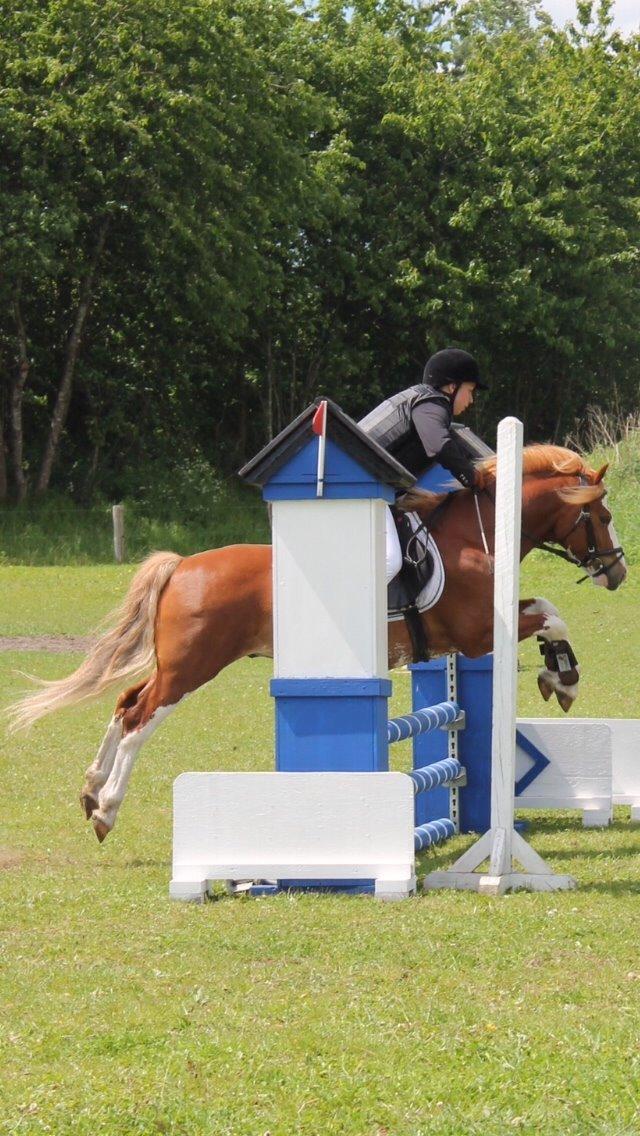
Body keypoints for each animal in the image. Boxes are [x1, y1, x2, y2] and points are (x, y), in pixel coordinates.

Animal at [7, 445, 622, 845]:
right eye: (602, 515)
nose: (616, 572)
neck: (479, 534)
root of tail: (182, 565)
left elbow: (548, 613)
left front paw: (558, 675)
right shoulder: (474, 633)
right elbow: (552, 616)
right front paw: (562, 678)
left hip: (177, 662)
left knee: (125, 702)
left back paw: (91, 789)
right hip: (192, 666)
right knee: (142, 717)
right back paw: (106, 810)